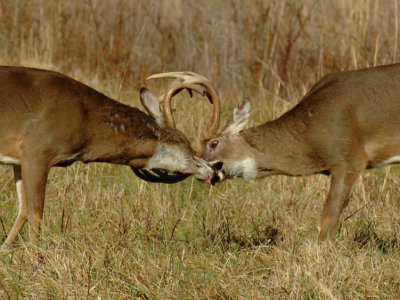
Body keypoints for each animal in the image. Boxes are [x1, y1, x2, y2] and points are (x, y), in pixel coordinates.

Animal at [0, 66, 220, 251]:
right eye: (184, 142)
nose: (212, 171)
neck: (86, 122)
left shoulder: (20, 160)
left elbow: (22, 209)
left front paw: (6, 250)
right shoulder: (37, 150)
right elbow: (35, 212)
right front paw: (36, 259)